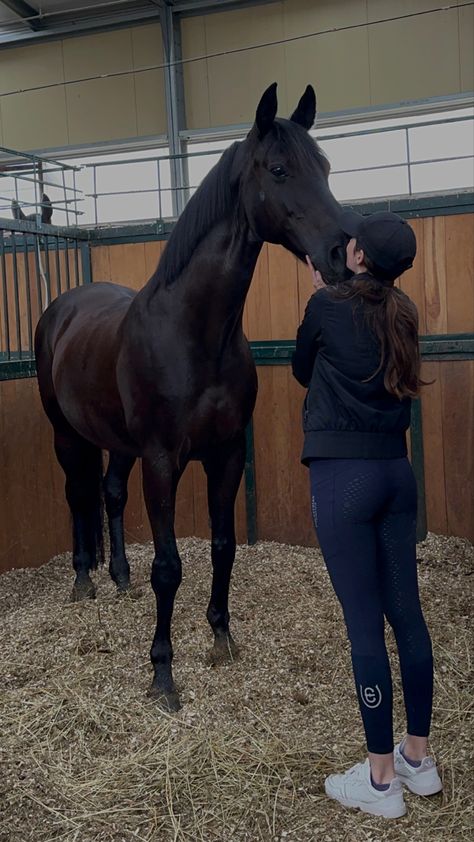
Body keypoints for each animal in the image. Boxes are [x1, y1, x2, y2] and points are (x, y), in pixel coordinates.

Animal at [35, 83, 346, 708]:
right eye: (279, 169)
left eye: (324, 168)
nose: (339, 252)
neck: (195, 333)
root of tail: (64, 305)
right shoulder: (162, 461)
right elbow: (169, 565)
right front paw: (162, 673)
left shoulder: (225, 454)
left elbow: (224, 545)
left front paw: (221, 637)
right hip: (66, 432)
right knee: (77, 493)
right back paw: (83, 580)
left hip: (117, 443)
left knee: (107, 493)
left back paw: (118, 578)